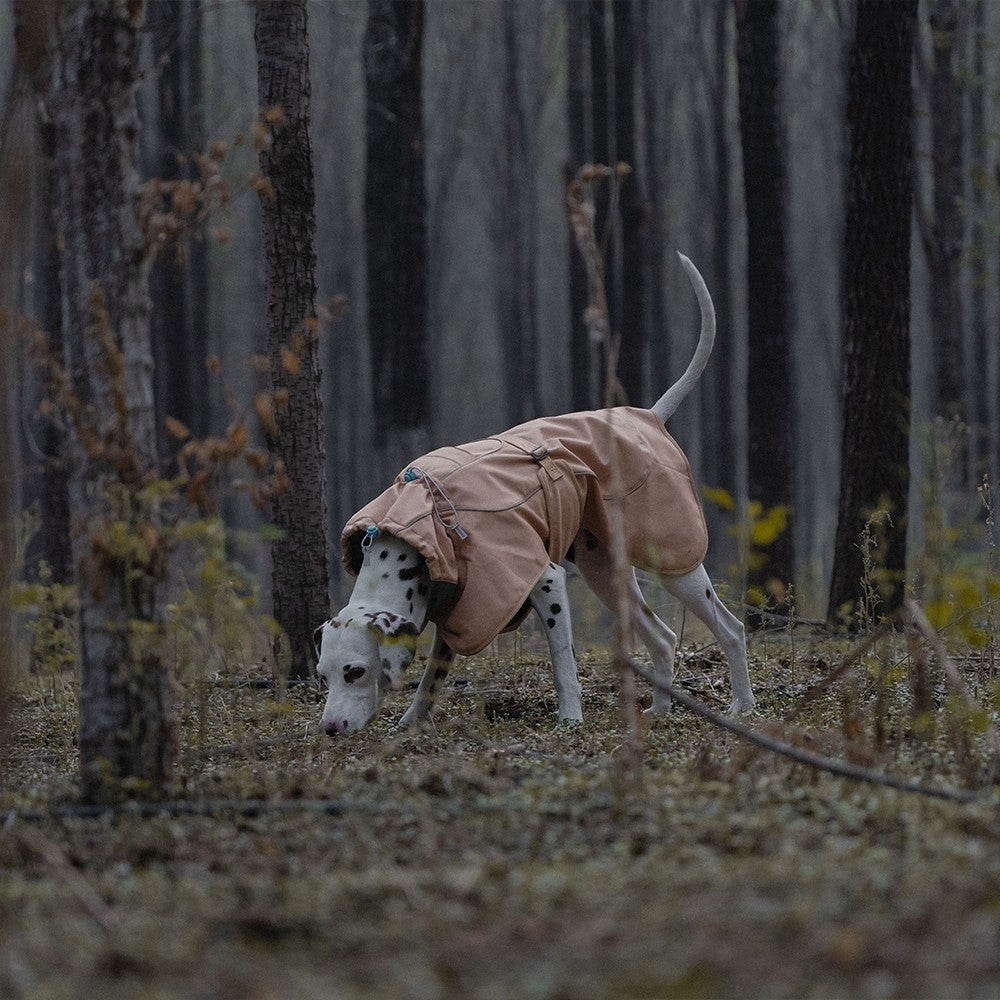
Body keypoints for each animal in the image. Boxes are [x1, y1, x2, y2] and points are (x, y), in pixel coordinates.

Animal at [316, 254, 752, 740]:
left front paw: (569, 718)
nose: (329, 727)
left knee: (731, 630)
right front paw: (411, 723)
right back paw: (658, 710)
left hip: (676, 564)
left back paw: (742, 705)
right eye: (323, 675)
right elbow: (431, 680)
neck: (419, 528)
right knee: (664, 638)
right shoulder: (458, 613)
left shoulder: (546, 582)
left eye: (355, 671)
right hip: (608, 575)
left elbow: (563, 664)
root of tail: (648, 417)